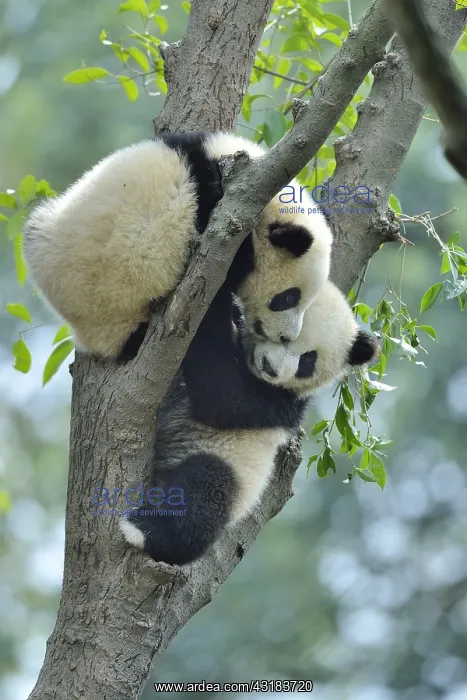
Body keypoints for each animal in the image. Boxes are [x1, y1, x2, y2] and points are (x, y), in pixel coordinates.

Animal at [119, 278, 378, 566]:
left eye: (308, 361)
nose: (272, 368)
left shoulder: (281, 403)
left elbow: (225, 396)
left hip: (229, 467)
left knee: (206, 492)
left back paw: (145, 530)